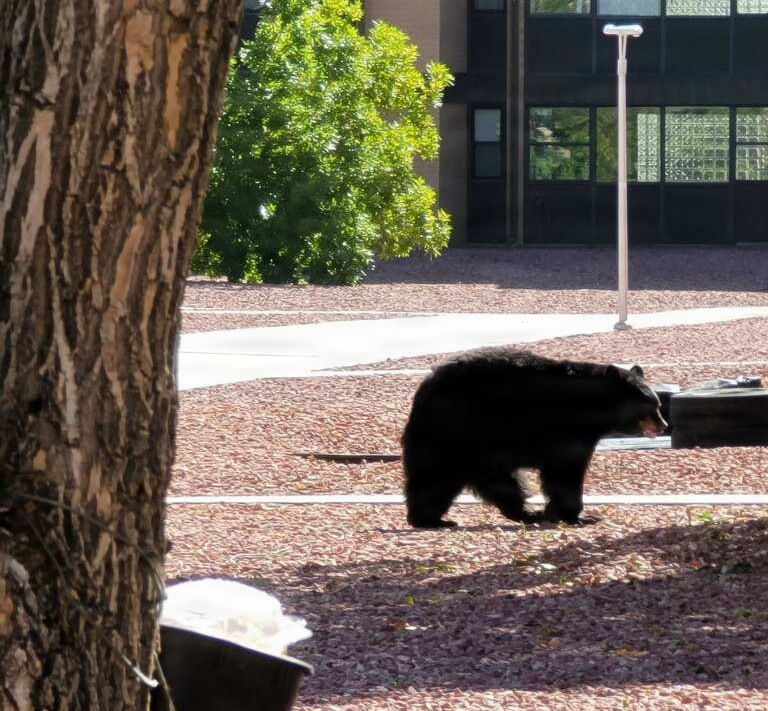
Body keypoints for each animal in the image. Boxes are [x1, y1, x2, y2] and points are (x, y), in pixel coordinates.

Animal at [401, 347, 667, 529]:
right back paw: (429, 520)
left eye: (659, 405)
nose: (663, 426)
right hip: (455, 435)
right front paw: (579, 515)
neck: (591, 407)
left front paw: (557, 513)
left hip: (480, 451)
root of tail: (423, 392)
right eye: (649, 408)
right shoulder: (566, 432)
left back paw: (527, 514)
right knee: (435, 478)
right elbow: (566, 473)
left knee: (502, 484)